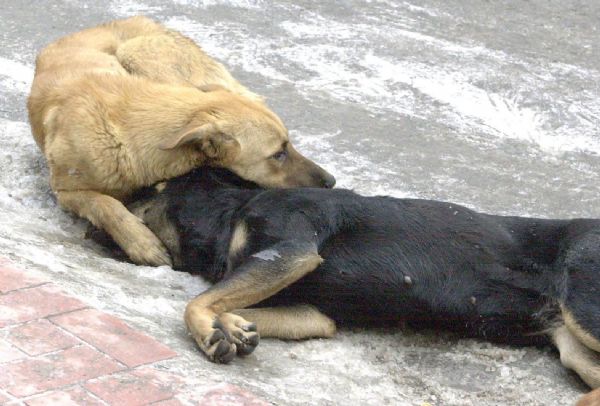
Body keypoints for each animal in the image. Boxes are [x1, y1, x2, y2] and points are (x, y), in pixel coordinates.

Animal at [28, 17, 336, 266]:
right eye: (278, 154)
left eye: (288, 145)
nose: (331, 182)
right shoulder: (66, 191)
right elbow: (105, 204)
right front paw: (143, 244)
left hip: (147, 59)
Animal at [92, 167, 600, 386]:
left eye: (135, 196)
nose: (88, 222)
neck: (228, 212)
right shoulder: (314, 313)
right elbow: (225, 299)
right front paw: (232, 326)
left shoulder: (291, 248)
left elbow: (194, 301)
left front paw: (211, 332)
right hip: (575, 349)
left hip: (582, 306)